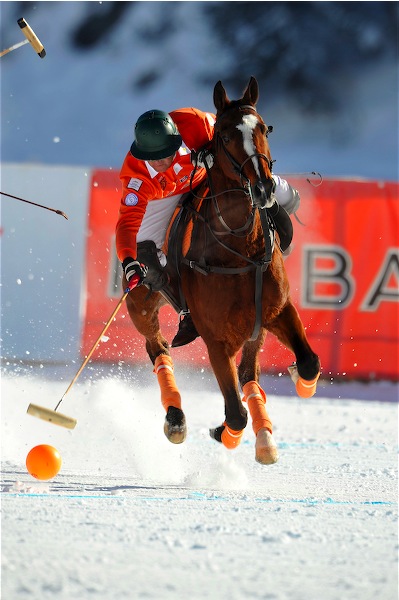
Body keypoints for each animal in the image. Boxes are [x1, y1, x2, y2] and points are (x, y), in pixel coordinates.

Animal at [123, 76, 320, 464]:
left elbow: (308, 362)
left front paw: (297, 379)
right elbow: (235, 413)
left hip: (256, 326)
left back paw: (265, 439)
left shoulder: (279, 310)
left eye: (263, 128)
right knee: (158, 348)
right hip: (140, 302)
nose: (263, 187)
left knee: (249, 374)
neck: (240, 249)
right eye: (226, 136)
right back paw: (176, 419)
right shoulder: (216, 339)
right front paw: (222, 433)